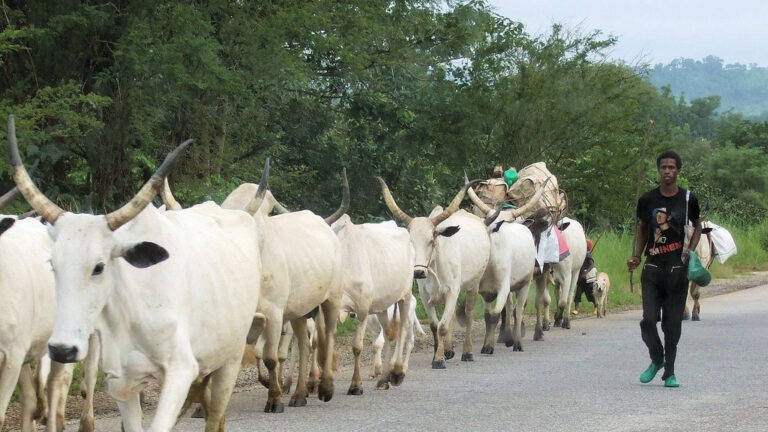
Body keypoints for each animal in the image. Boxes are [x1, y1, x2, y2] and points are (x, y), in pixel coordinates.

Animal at [9, 120, 264, 432]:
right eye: (52, 264)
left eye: (99, 266)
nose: (62, 350)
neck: (131, 308)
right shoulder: (122, 380)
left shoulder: (181, 370)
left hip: (231, 357)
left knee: (215, 416)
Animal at [220, 178, 344, 412]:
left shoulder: (275, 314)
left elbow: (271, 357)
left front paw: (275, 399)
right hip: (299, 310)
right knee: (305, 345)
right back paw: (299, 394)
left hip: (331, 299)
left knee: (329, 336)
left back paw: (325, 388)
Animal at [330, 214, 414, 394]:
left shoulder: (362, 308)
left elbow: (357, 347)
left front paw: (356, 385)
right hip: (382, 305)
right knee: (389, 334)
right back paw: (383, 379)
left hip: (406, 295)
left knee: (403, 329)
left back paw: (397, 373)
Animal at [378, 178, 492, 368]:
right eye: (410, 241)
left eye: (431, 240)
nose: (417, 272)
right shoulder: (425, 295)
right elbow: (434, 325)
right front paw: (438, 354)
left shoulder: (453, 291)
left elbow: (443, 326)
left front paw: (439, 360)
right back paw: (449, 350)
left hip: (473, 284)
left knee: (468, 314)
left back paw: (467, 352)